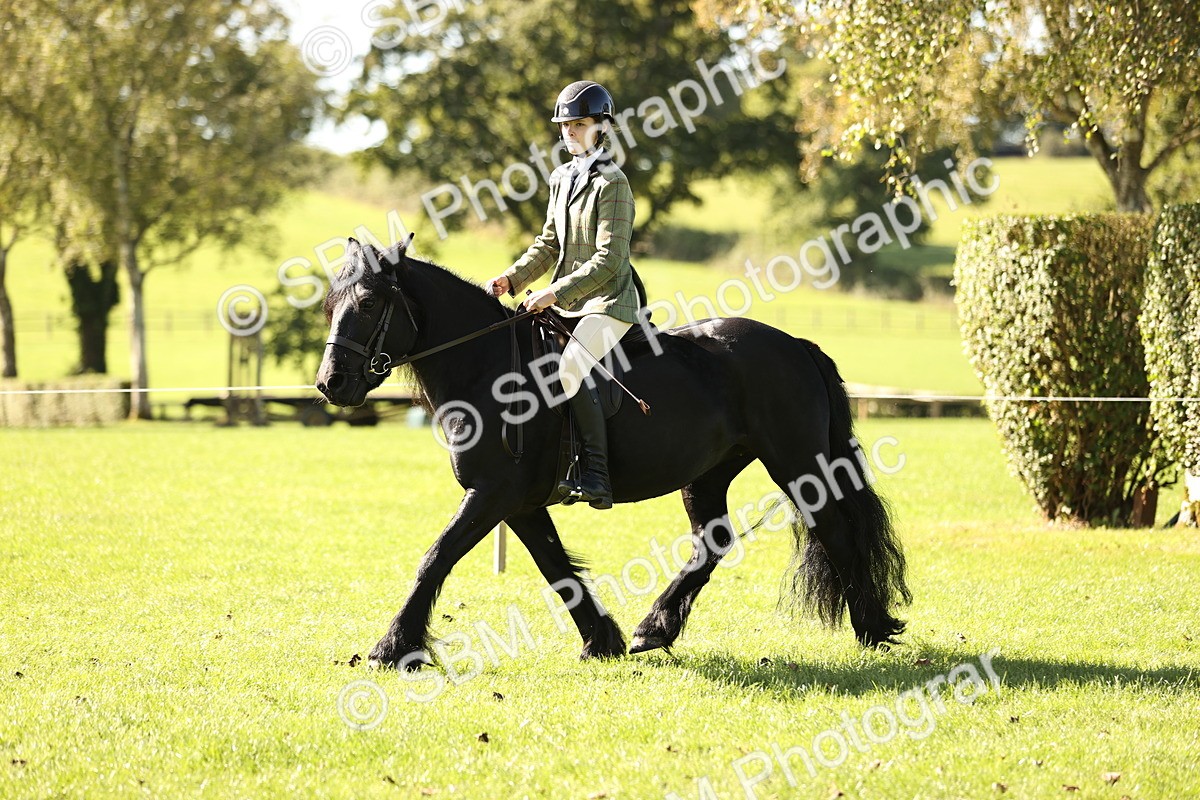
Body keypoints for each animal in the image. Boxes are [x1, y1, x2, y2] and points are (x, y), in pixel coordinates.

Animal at [315, 237, 910, 668]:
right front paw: (601, 640)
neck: (487, 368)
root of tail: (796, 346)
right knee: (713, 541)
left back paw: (872, 627)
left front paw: (394, 648)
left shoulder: (491, 494)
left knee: (835, 531)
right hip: (710, 473)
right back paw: (655, 629)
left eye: (368, 303)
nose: (330, 383)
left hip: (798, 464)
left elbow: (435, 558)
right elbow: (556, 567)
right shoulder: (519, 504)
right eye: (329, 306)